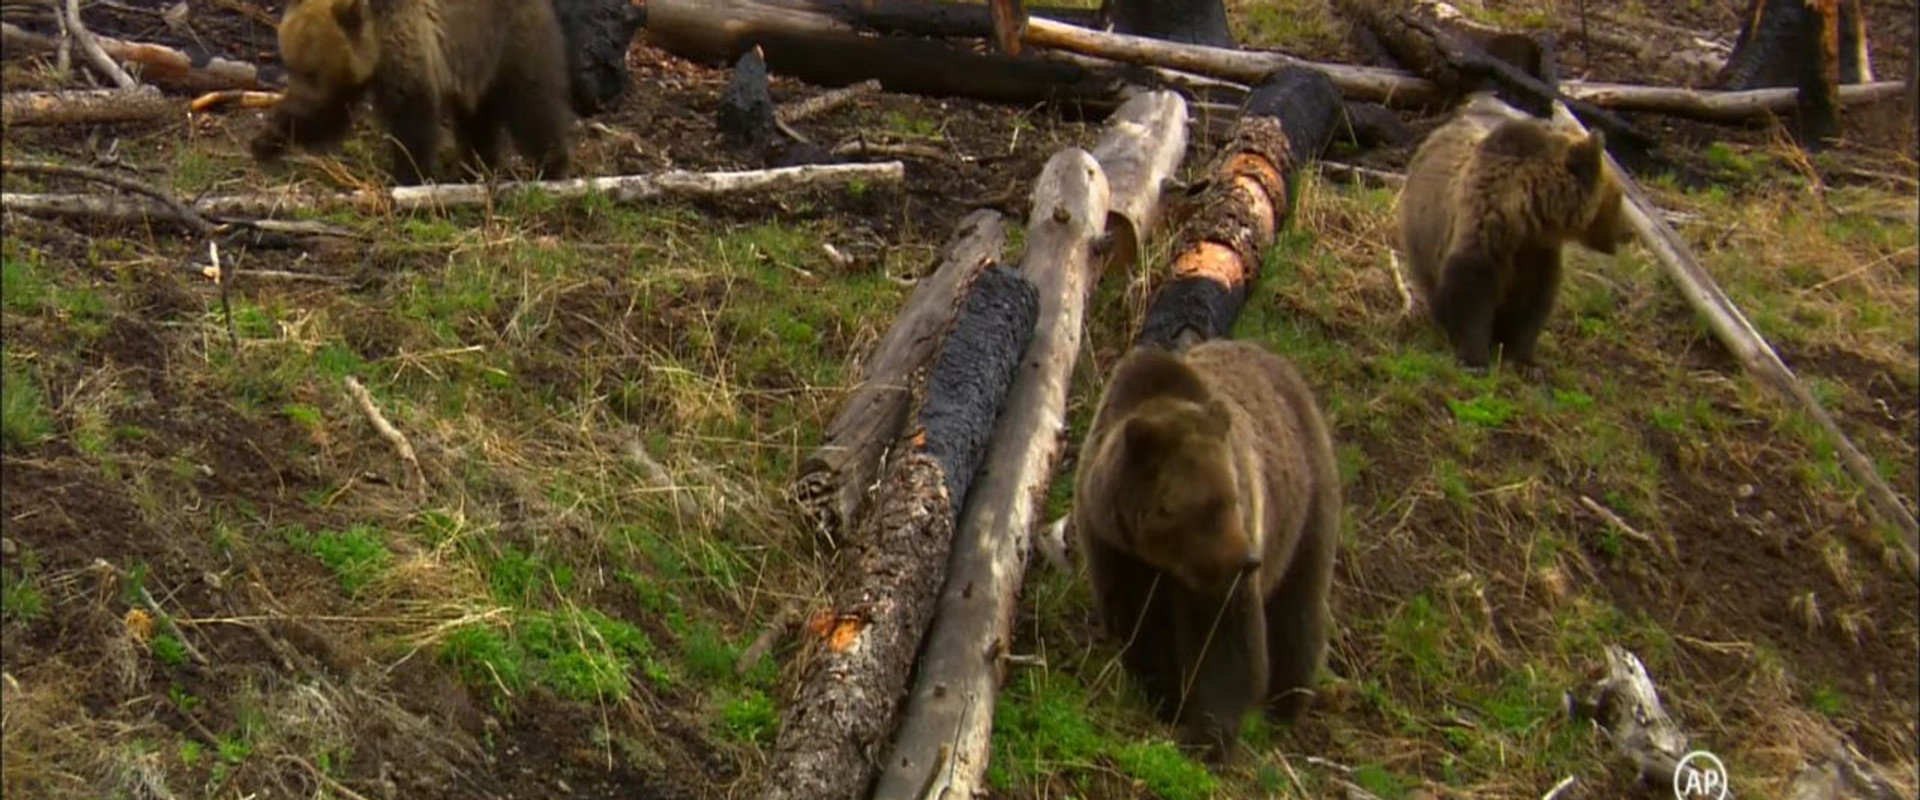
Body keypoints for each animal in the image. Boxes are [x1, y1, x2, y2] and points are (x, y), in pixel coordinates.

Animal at [250, 0, 575, 186]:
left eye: (312, 71)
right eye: (291, 65)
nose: (298, 100)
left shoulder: (407, 44)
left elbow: (412, 117)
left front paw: (410, 175)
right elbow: (329, 113)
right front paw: (266, 140)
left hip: (505, 39)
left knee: (531, 104)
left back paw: (551, 166)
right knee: (475, 118)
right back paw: (474, 169)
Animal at [1071, 339, 1342, 762]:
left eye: (1233, 497)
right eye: (1201, 507)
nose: (1248, 560)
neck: (1164, 558)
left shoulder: (1216, 572)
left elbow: (1226, 642)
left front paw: (1206, 735)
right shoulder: (1116, 550)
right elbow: (1142, 625)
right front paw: (1164, 698)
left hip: (1305, 506)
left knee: (1298, 609)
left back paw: (1284, 707)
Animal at [1396, 108, 1632, 372]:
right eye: (1620, 197)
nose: (1629, 232)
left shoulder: (1536, 252)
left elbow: (1531, 303)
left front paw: (1525, 361)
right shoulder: (1483, 230)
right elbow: (1470, 291)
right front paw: (1474, 358)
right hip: (1422, 237)